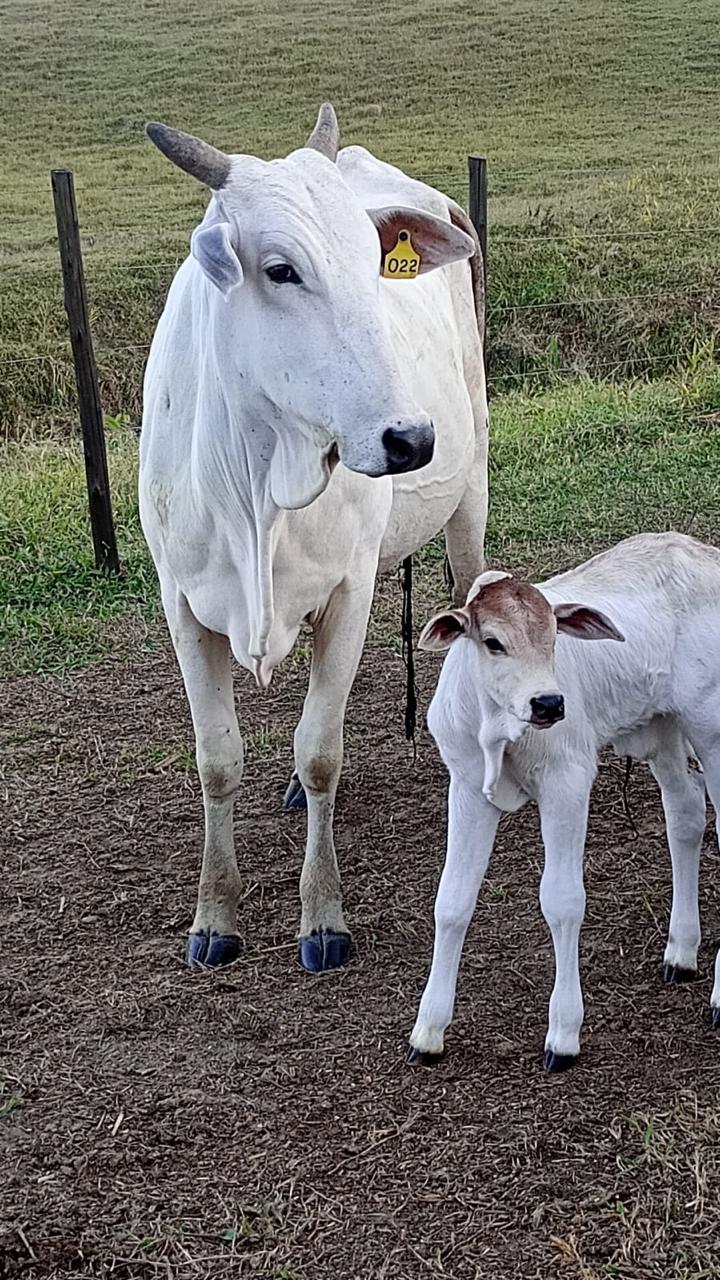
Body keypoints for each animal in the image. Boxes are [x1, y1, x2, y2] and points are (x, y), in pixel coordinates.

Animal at [139, 107, 486, 967]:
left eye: (373, 261)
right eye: (280, 269)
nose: (409, 439)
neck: (257, 479)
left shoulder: (349, 590)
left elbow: (321, 749)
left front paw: (322, 914)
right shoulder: (182, 605)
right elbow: (218, 760)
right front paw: (215, 915)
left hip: (470, 492)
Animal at [409, 529, 717, 1070]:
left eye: (554, 637)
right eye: (493, 642)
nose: (549, 703)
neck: (499, 727)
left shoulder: (567, 782)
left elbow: (562, 900)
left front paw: (564, 1032)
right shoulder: (466, 787)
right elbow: (452, 900)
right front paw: (428, 1030)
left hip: (712, 729)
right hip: (663, 727)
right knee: (686, 815)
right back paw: (681, 952)